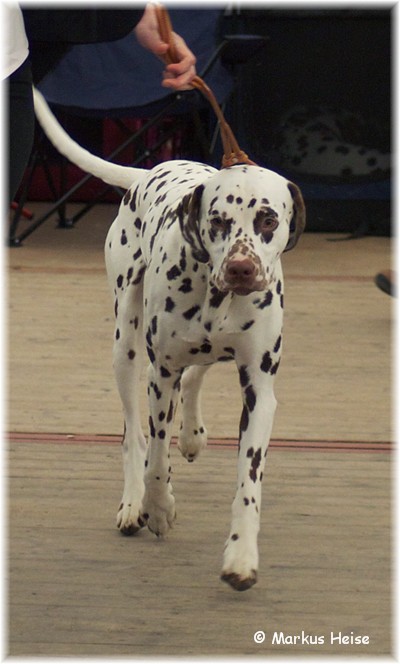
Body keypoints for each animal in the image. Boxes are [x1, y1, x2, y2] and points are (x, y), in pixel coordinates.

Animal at [33, 88, 305, 591]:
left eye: (268, 220)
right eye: (218, 220)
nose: (241, 269)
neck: (216, 297)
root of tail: (146, 173)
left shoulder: (260, 391)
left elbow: (248, 484)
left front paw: (241, 556)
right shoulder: (159, 375)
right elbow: (156, 458)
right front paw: (157, 508)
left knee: (199, 372)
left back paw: (193, 433)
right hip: (125, 349)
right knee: (133, 436)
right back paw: (132, 502)